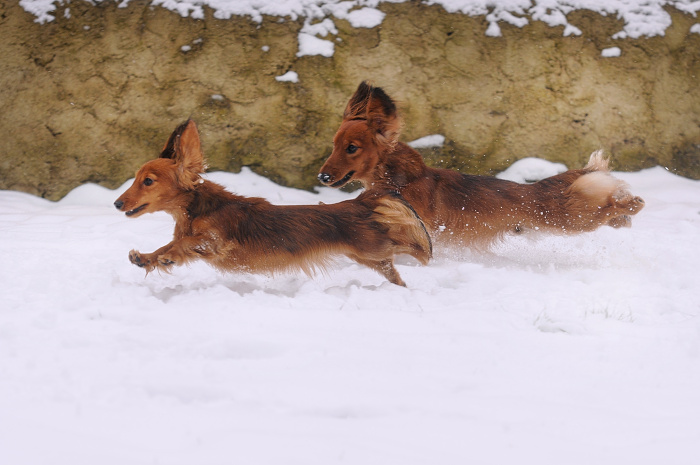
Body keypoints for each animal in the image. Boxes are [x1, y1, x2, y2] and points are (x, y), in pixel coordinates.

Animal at [114, 119, 432, 286]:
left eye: (148, 181)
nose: (117, 203)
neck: (200, 209)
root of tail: (359, 203)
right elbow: (168, 246)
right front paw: (147, 257)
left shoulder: (216, 242)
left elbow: (185, 244)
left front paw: (164, 256)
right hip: (372, 258)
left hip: (374, 248)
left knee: (413, 245)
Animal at [318, 81, 645, 249]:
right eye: (334, 144)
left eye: (352, 148)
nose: (322, 176)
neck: (402, 179)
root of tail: (540, 188)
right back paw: (624, 217)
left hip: (569, 219)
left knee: (613, 206)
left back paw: (632, 205)